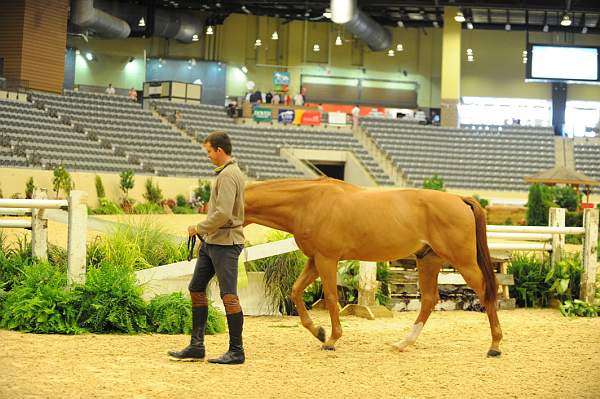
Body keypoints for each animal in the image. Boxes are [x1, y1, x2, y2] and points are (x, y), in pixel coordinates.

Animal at [244, 177, 502, 358]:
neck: (309, 202)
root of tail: (459, 199)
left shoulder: (327, 259)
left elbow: (330, 297)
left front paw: (332, 339)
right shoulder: (315, 260)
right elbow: (296, 291)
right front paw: (319, 332)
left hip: (463, 262)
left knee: (486, 293)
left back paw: (495, 346)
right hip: (428, 260)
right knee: (429, 300)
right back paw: (403, 343)